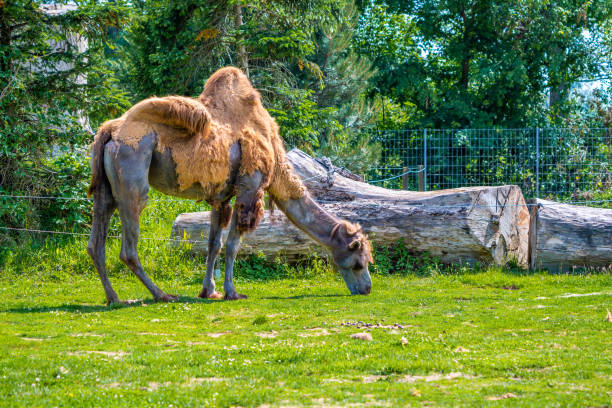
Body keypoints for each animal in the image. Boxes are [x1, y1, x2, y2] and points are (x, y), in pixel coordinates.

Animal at [87, 66, 372, 302]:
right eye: (359, 261)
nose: (367, 288)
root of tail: (110, 131)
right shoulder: (250, 188)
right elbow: (234, 245)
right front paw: (232, 292)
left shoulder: (221, 195)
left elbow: (215, 244)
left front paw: (208, 291)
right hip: (133, 170)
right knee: (128, 246)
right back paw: (162, 295)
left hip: (105, 186)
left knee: (96, 241)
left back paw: (114, 298)